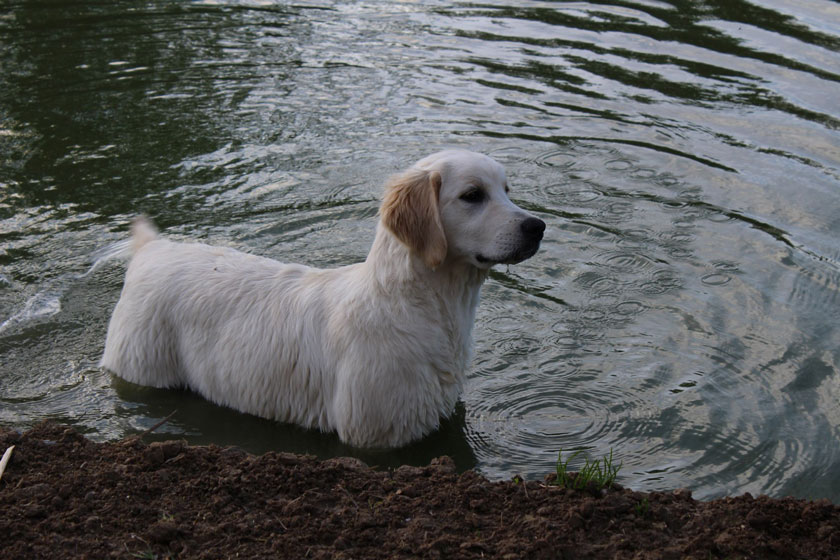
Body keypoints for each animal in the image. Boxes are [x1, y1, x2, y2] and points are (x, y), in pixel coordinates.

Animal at [101, 149, 544, 446]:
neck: (419, 307)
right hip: (143, 366)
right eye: (473, 195)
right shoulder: (377, 433)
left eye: (506, 190)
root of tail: (152, 249)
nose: (537, 226)